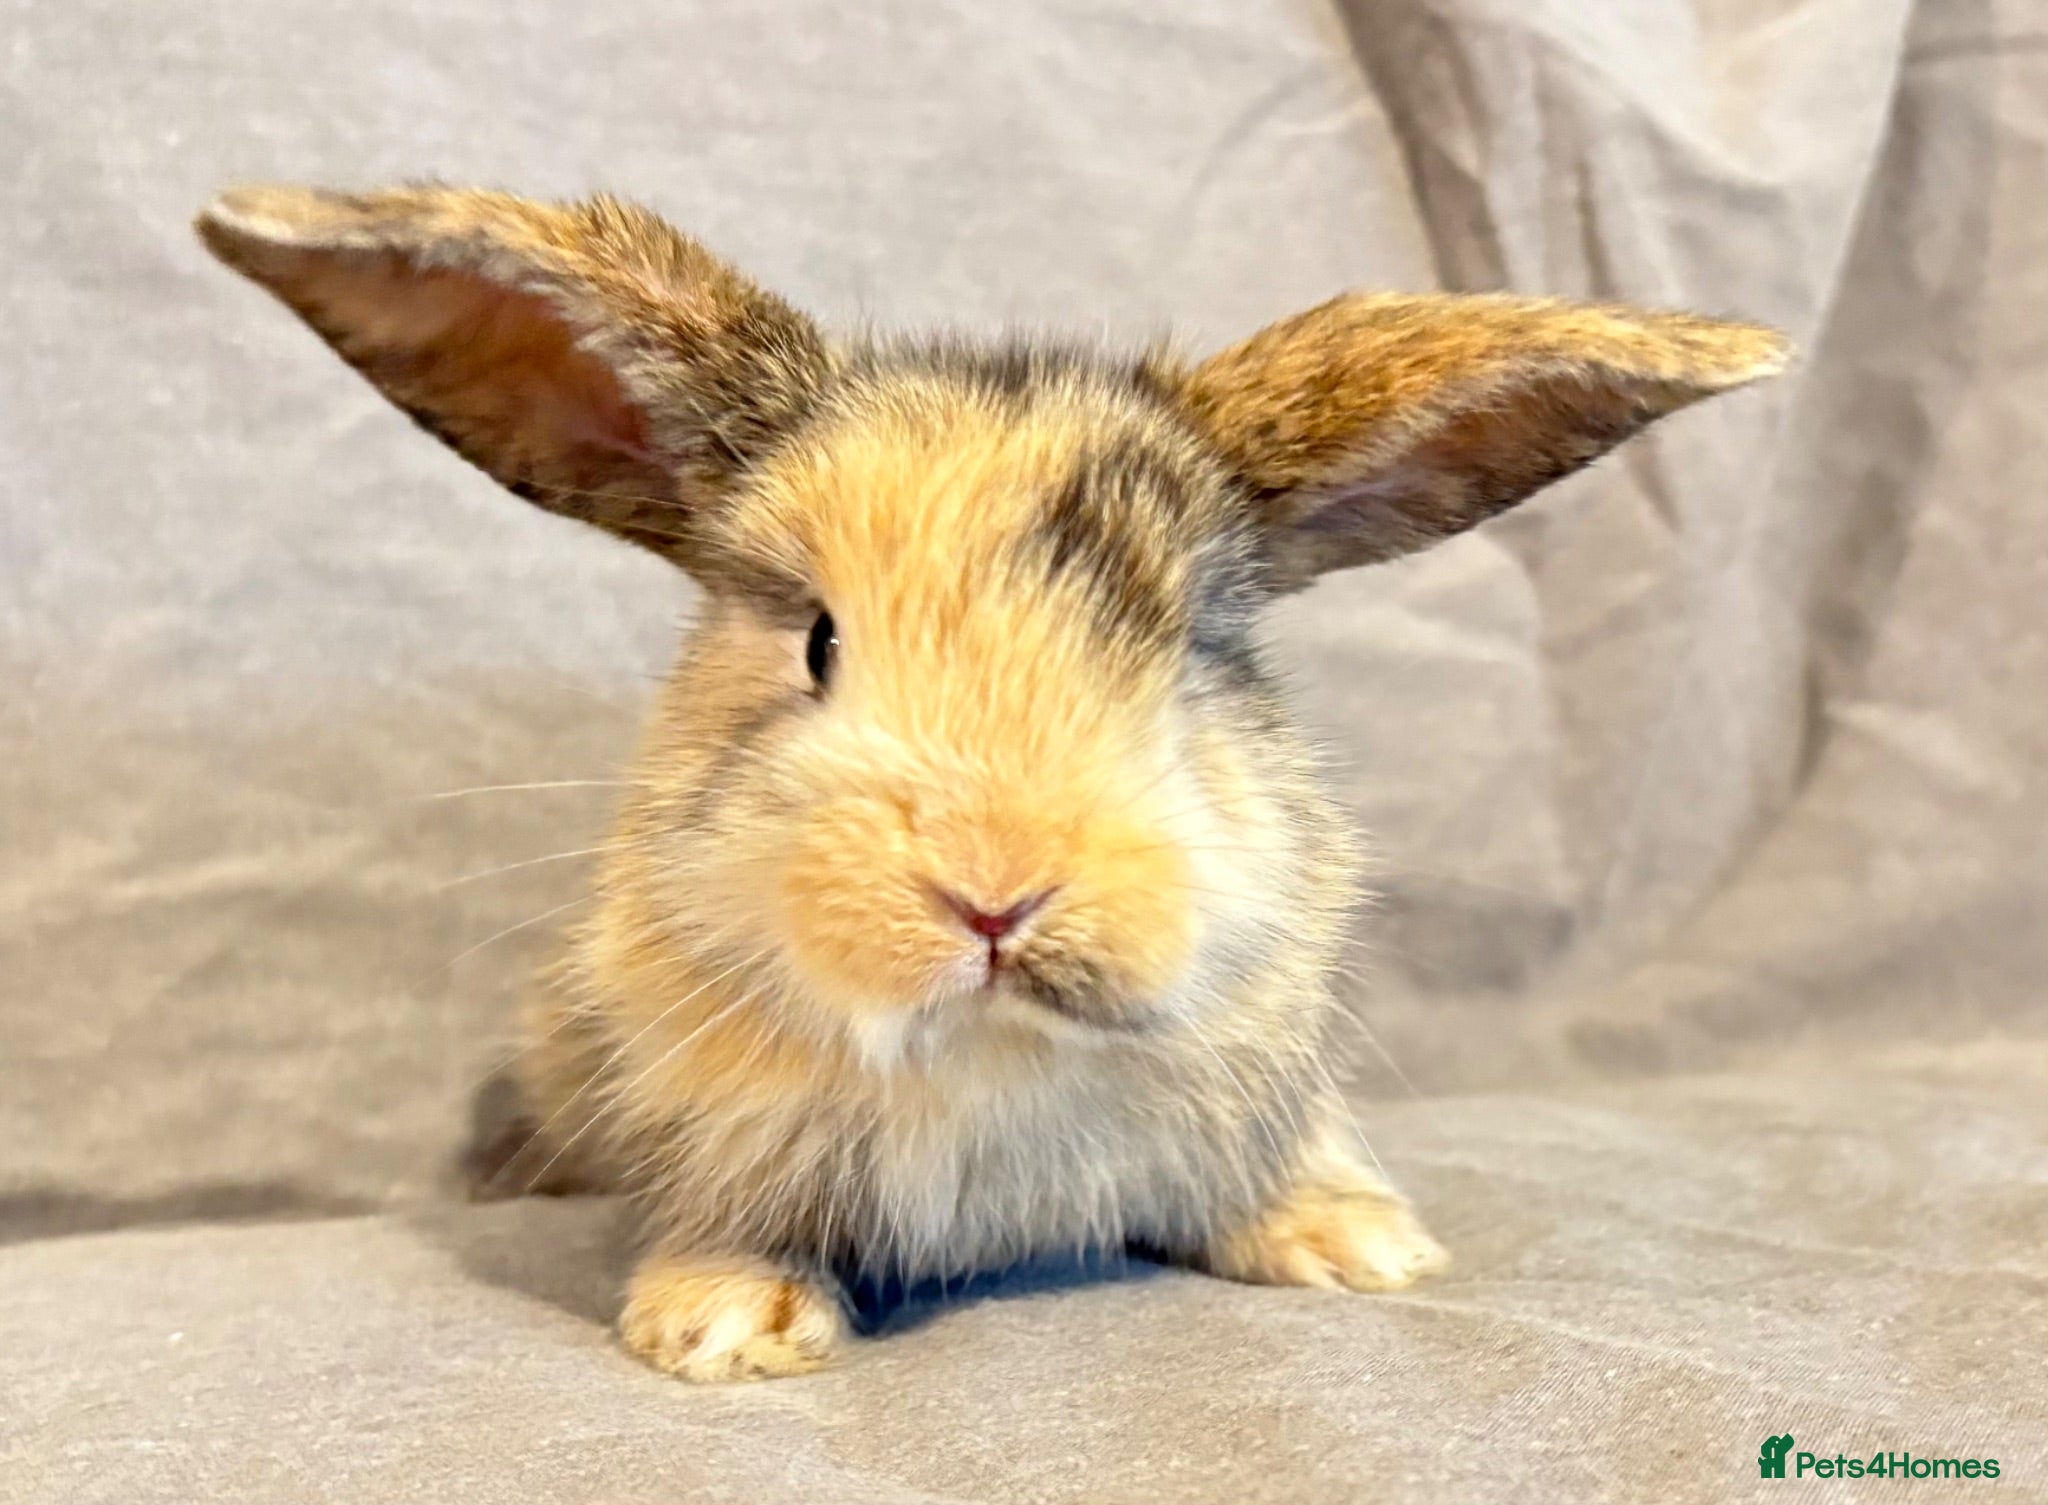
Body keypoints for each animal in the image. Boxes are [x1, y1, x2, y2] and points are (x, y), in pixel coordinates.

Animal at [196, 184, 1787, 1382]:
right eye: (819, 639)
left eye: (1189, 649)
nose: (996, 893)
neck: (990, 1051)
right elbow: (734, 1225)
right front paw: (723, 1327)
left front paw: (1358, 1245)